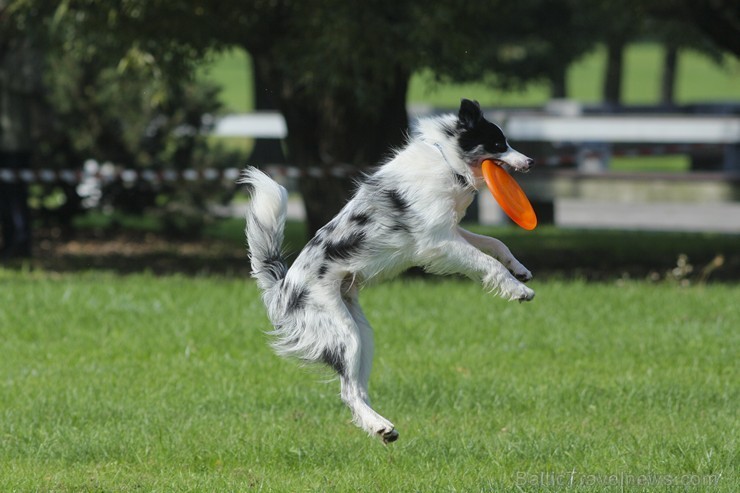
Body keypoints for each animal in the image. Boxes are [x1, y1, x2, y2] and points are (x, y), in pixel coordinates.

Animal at [240, 99, 536, 442]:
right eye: (499, 144)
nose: (530, 161)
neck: (447, 160)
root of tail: (283, 286)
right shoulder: (438, 241)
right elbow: (488, 263)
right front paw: (518, 289)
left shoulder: (451, 232)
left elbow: (494, 243)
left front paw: (520, 270)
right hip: (343, 332)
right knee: (348, 391)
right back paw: (380, 426)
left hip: (362, 335)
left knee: (356, 388)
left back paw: (378, 426)